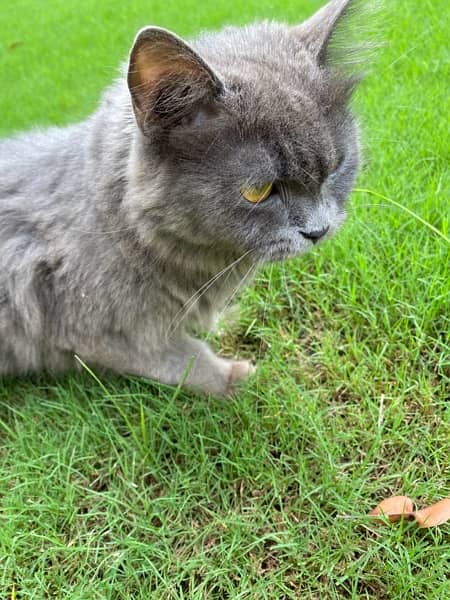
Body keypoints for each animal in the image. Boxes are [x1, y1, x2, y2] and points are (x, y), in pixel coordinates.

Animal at [0, 1, 370, 398]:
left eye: (335, 167)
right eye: (258, 191)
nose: (318, 231)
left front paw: (226, 322)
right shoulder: (94, 326)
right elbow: (185, 359)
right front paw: (241, 380)